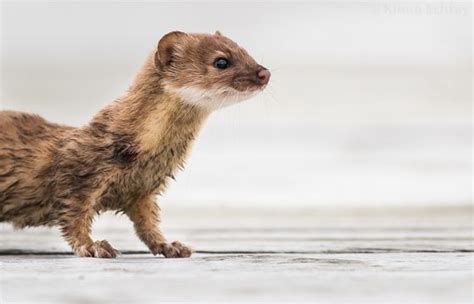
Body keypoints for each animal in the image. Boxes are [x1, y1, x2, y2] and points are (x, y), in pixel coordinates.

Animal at [0, 30, 270, 258]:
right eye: (221, 61)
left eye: (245, 50)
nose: (264, 73)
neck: (150, 155)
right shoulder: (80, 177)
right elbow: (74, 218)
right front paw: (94, 246)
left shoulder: (143, 190)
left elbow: (147, 224)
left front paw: (170, 245)